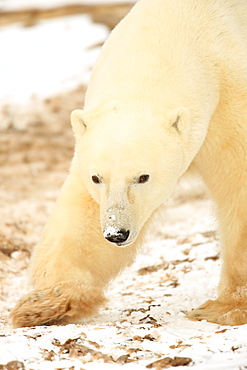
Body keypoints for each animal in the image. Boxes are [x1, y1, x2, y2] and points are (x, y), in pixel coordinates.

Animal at [11, 0, 247, 326]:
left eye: (143, 177)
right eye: (97, 178)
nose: (116, 233)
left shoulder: (228, 104)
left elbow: (237, 187)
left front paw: (222, 308)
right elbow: (82, 216)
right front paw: (46, 303)